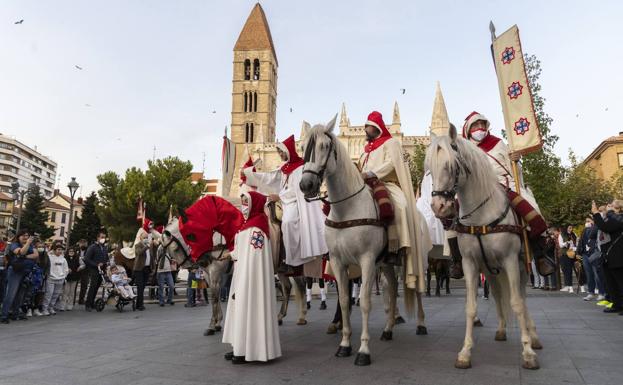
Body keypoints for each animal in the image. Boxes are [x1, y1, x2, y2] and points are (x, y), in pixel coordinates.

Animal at [296, 115, 424, 366]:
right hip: (386, 263)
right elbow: (345, 300)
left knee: (416, 290)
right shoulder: (338, 262)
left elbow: (364, 302)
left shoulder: (366, 261)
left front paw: (363, 350)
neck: (347, 208)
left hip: (413, 258)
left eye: (325, 146)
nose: (306, 185)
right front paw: (344, 344)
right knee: (391, 288)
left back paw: (421, 325)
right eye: (304, 147)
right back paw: (388, 329)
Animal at [426, 126, 544, 368]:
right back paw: (501, 329)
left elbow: (517, 303)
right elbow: (471, 307)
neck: (481, 215)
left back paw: (533, 336)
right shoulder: (471, 264)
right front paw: (465, 352)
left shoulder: (510, 261)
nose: (440, 207)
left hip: (520, 267)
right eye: (430, 168)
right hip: (490, 271)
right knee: (498, 294)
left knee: (522, 298)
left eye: (452, 165)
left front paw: (527, 352)